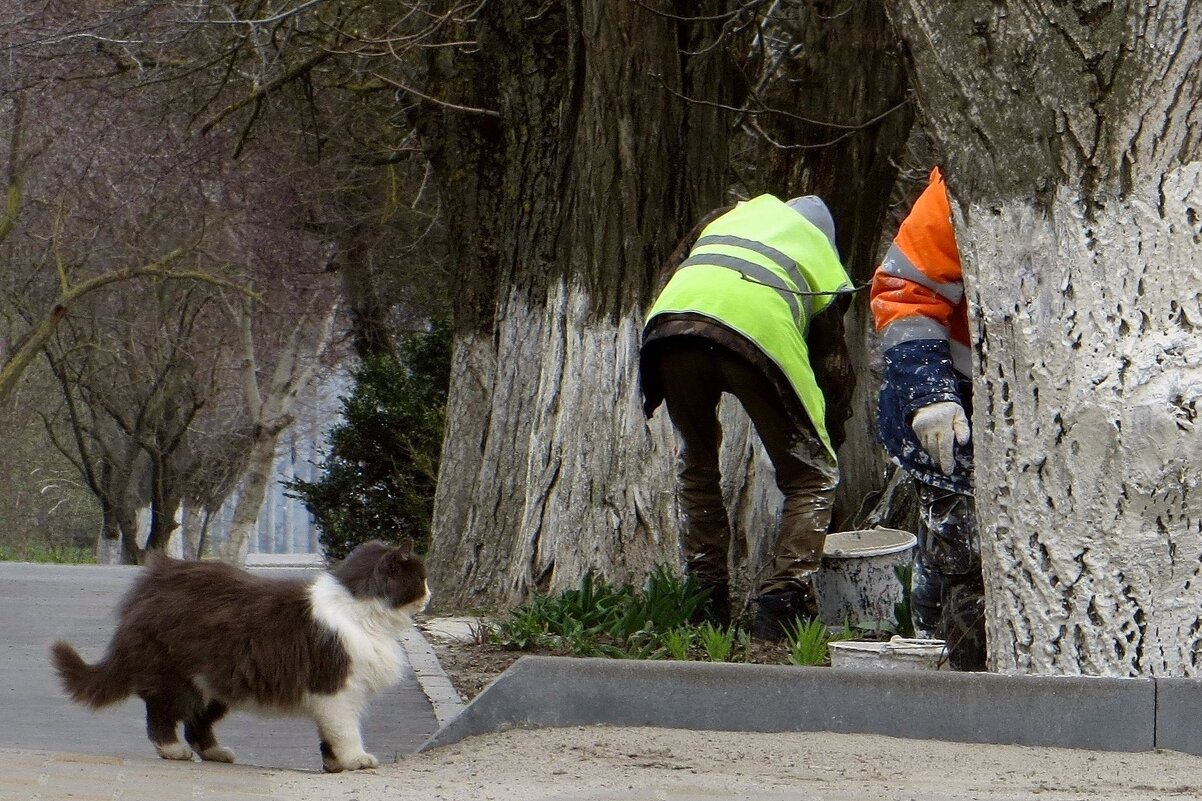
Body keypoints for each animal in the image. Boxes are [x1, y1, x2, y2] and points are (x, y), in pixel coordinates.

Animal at [50, 538, 432, 769]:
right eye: (420, 579)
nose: (430, 595)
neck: (361, 613)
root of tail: (153, 583)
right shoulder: (337, 690)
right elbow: (346, 731)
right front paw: (356, 760)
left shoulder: (334, 698)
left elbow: (329, 736)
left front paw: (334, 765)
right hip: (179, 679)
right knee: (161, 716)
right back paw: (172, 750)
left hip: (216, 686)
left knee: (197, 724)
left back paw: (216, 753)